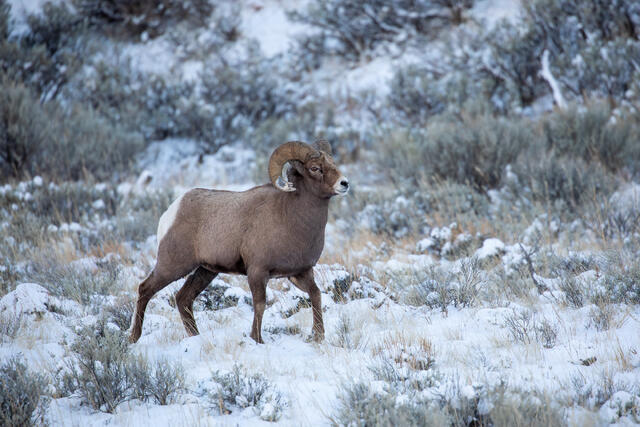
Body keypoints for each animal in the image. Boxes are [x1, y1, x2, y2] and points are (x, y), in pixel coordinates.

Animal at [129, 140, 349, 344]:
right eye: (315, 168)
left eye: (332, 163)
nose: (344, 183)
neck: (291, 217)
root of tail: (172, 211)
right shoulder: (258, 272)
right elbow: (260, 304)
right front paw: (257, 339)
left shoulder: (300, 272)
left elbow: (316, 294)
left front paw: (318, 336)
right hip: (173, 266)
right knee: (145, 289)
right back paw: (134, 338)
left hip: (205, 271)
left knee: (183, 298)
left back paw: (195, 337)